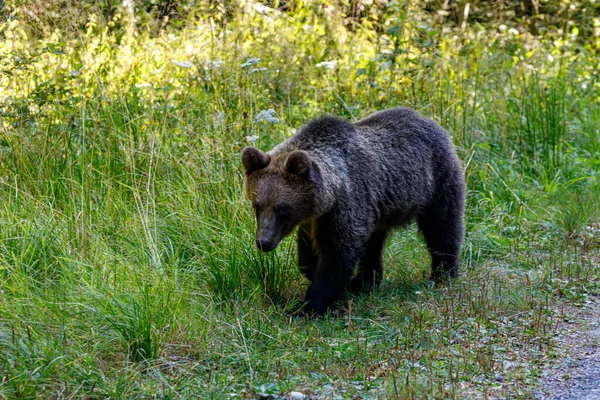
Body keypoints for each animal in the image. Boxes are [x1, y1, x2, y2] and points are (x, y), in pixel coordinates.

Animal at [241, 108, 466, 318]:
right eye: (257, 205)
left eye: (281, 208)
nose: (263, 242)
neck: (329, 196)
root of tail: (430, 121)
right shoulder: (312, 220)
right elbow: (307, 256)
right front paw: (319, 273)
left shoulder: (345, 205)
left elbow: (338, 254)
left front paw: (310, 305)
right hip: (378, 208)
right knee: (373, 243)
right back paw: (366, 281)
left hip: (437, 180)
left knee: (442, 226)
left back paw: (443, 273)